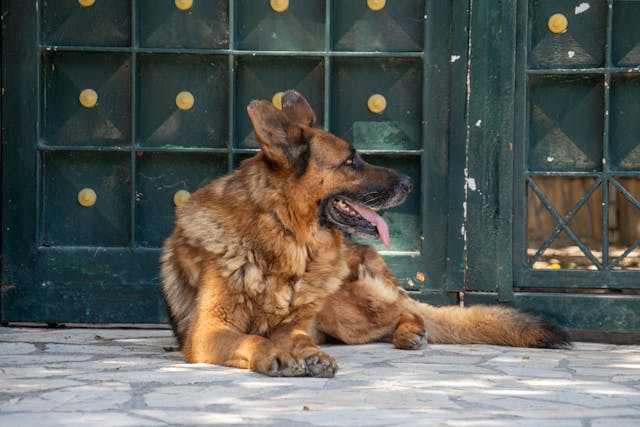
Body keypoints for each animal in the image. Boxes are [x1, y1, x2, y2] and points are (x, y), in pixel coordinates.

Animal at [161, 90, 568, 378]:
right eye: (350, 162)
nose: (409, 182)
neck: (283, 238)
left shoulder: (292, 325)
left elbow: (297, 336)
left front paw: (308, 353)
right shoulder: (209, 331)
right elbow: (251, 339)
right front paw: (277, 354)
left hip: (342, 307)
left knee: (409, 313)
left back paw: (409, 332)